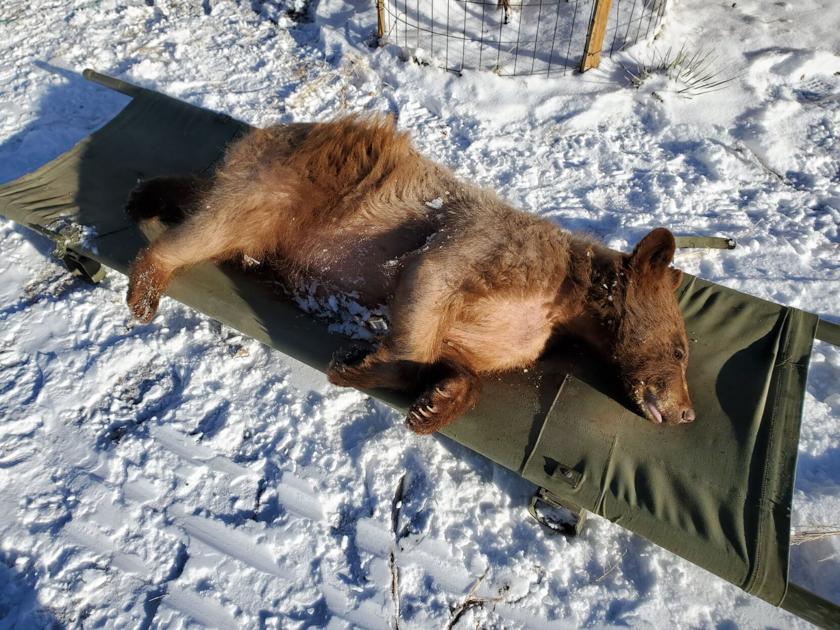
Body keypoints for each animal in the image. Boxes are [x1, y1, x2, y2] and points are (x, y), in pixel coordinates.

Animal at [125, 115, 695, 433]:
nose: (688, 412)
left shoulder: (512, 334)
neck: (569, 309)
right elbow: (430, 282)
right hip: (289, 183)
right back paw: (147, 282)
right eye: (681, 349)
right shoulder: (485, 247)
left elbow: (461, 360)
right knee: (214, 222)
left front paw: (436, 403)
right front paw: (356, 365)